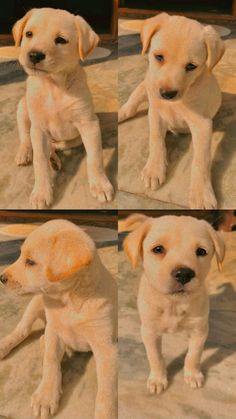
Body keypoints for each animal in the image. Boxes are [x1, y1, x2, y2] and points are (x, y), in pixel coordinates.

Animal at [0, 220, 117, 419]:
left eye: (30, 262)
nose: (1, 278)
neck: (69, 300)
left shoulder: (106, 346)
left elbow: (106, 389)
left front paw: (105, 413)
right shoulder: (54, 331)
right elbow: (51, 361)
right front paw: (46, 396)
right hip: (35, 303)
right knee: (22, 330)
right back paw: (5, 345)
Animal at [13, 6, 114, 208]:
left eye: (60, 40)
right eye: (29, 34)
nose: (34, 55)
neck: (54, 85)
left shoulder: (89, 124)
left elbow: (95, 157)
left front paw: (100, 185)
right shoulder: (39, 128)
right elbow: (39, 160)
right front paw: (41, 193)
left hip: (73, 139)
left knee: (54, 147)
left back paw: (54, 159)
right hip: (23, 108)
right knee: (26, 137)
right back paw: (25, 153)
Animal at [119, 13, 226, 210]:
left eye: (191, 66)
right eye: (159, 57)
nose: (166, 94)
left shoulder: (202, 124)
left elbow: (201, 160)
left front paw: (201, 193)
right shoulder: (155, 113)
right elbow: (155, 140)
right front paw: (154, 169)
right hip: (145, 86)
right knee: (132, 103)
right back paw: (121, 113)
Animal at [123, 215, 225, 396]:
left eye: (201, 251)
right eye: (158, 249)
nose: (184, 274)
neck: (174, 304)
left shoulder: (199, 330)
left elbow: (194, 355)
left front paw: (193, 375)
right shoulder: (149, 332)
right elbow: (155, 357)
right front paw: (158, 379)